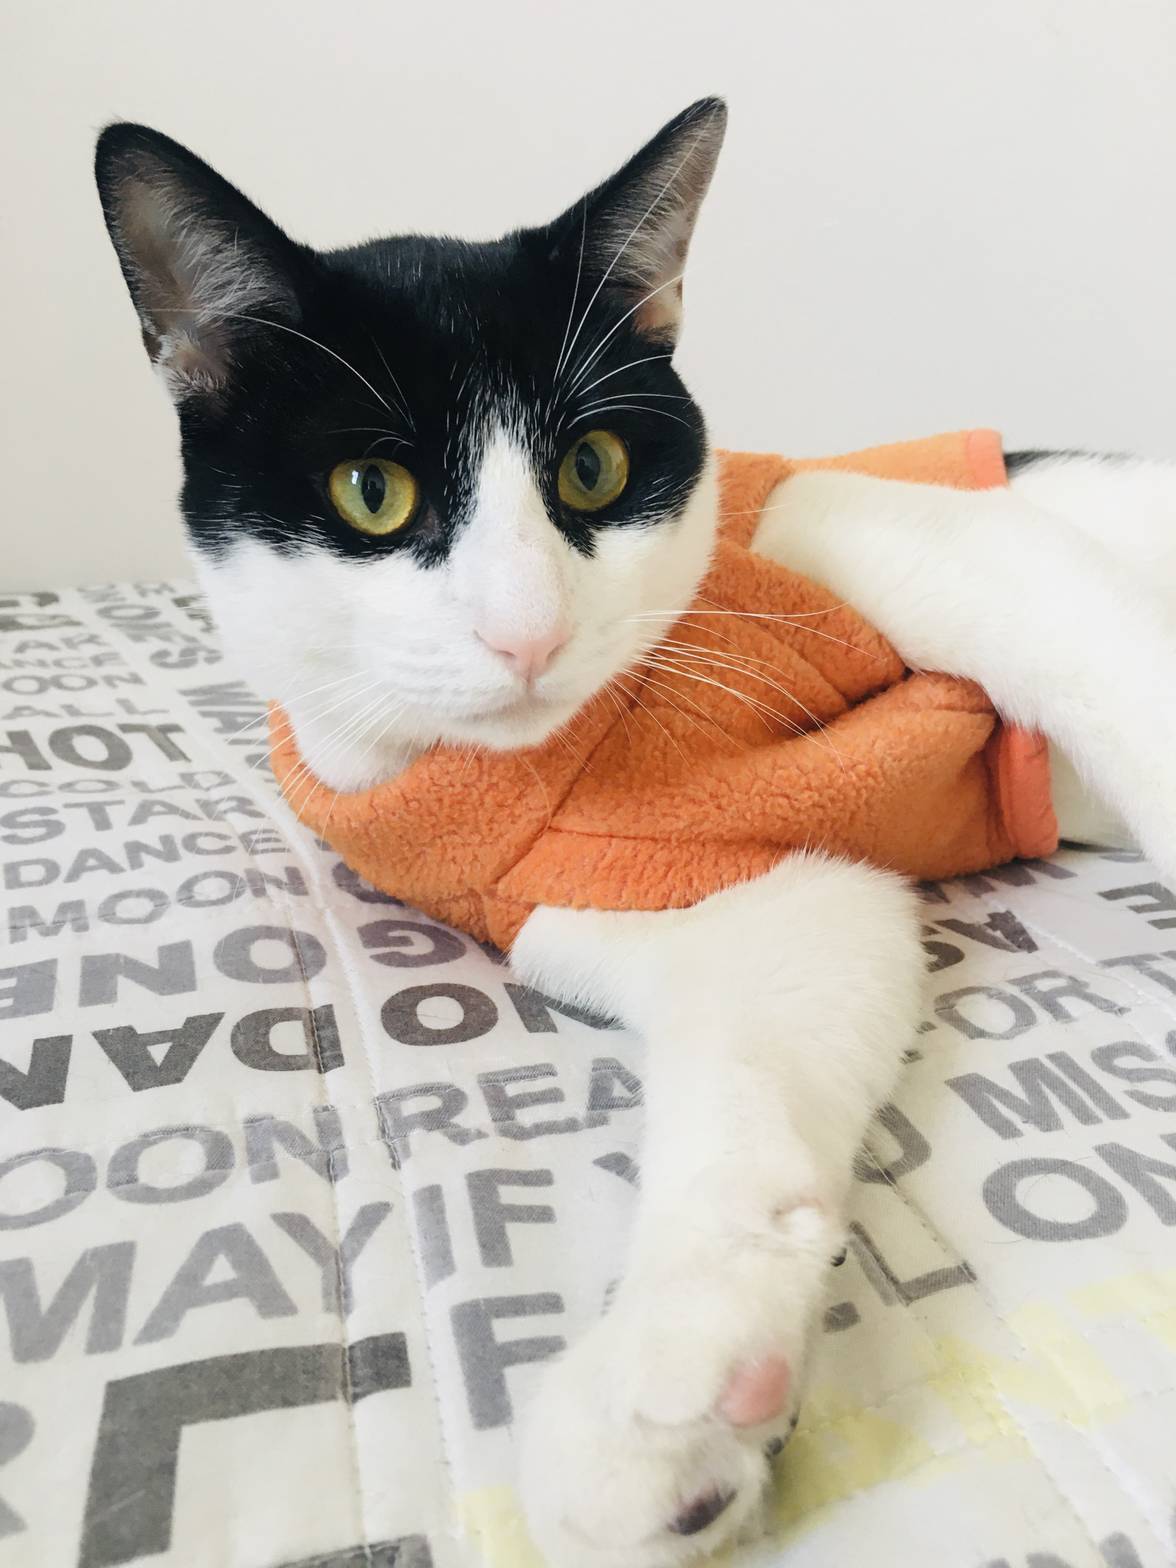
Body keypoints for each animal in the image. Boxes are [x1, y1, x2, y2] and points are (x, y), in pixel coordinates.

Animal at [95, 98, 1176, 1567]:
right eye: (374, 491)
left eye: (592, 469)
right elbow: (774, 1011)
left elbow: (1042, 612)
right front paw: (678, 1384)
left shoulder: (831, 515)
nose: (529, 632)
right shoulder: (634, 897)